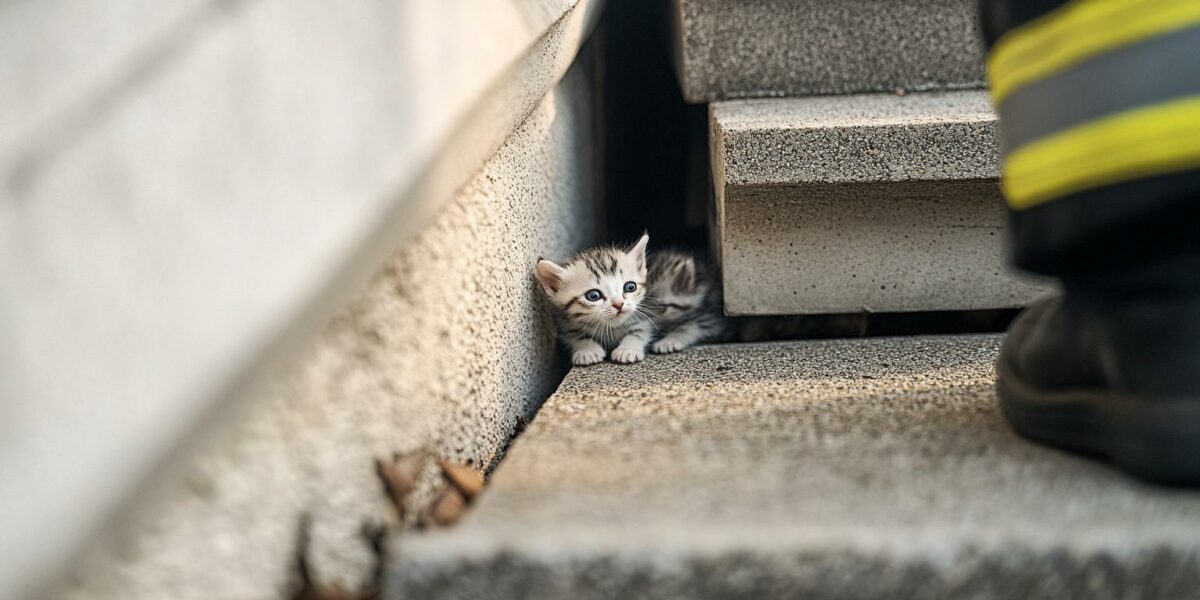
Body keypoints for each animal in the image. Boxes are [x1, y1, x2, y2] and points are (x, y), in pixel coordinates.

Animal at [537, 232, 657, 364]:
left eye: (630, 287)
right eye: (593, 296)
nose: (618, 304)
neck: (610, 328)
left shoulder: (645, 316)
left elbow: (639, 330)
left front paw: (627, 348)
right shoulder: (565, 323)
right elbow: (575, 334)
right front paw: (587, 350)